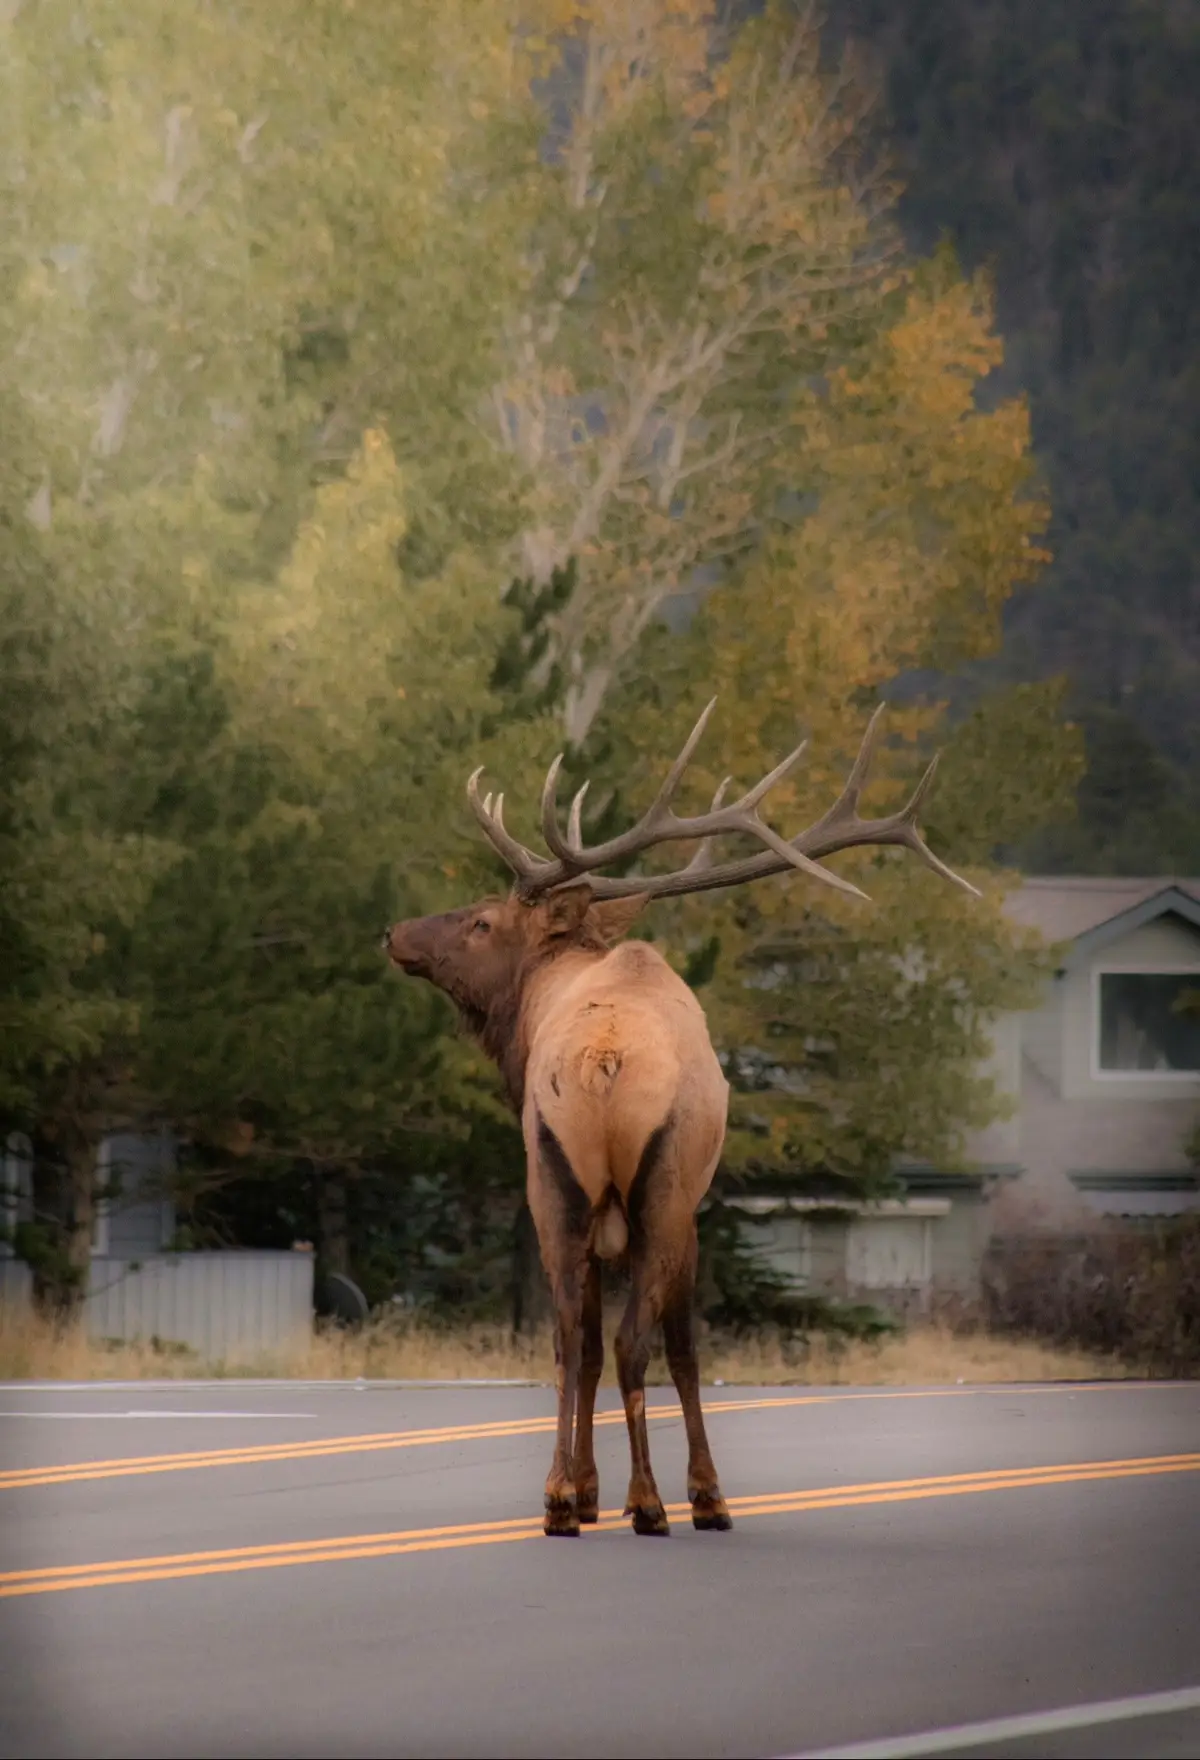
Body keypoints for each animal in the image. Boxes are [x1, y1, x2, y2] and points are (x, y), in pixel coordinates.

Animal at [384, 700, 978, 1538]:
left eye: (480, 922)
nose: (395, 933)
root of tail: (603, 1060)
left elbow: (591, 1343)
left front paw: (584, 1489)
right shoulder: (688, 1209)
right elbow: (685, 1350)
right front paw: (701, 1493)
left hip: (557, 1183)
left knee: (571, 1335)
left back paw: (564, 1501)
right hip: (661, 1193)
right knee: (634, 1341)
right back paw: (653, 1504)